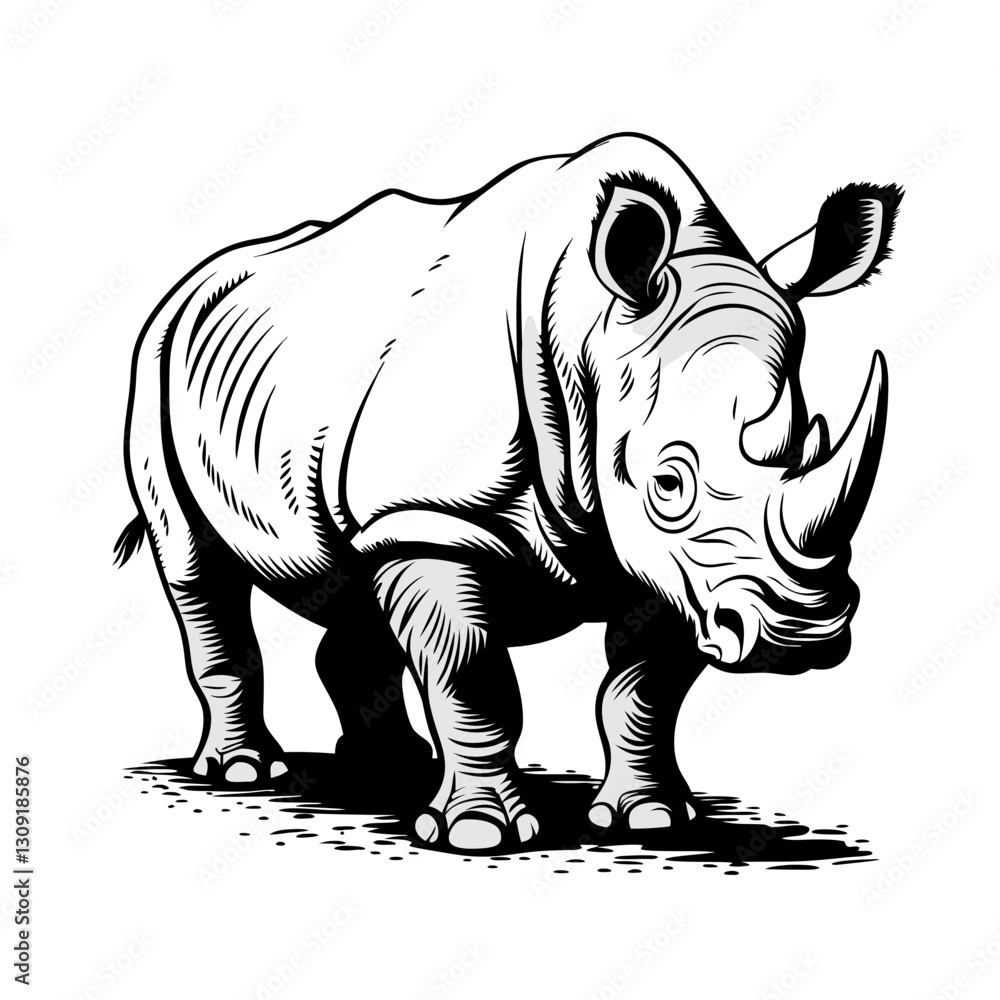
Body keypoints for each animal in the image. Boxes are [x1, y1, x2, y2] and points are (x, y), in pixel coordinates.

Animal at [117, 133, 901, 851]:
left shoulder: (669, 565)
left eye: (811, 439)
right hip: (153, 364)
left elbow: (644, 690)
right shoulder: (432, 517)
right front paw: (478, 834)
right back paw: (246, 771)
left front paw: (651, 819)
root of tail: (187, 286)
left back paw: (392, 767)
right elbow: (470, 672)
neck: (592, 337)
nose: (802, 634)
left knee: (349, 577)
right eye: (668, 482)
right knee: (196, 570)